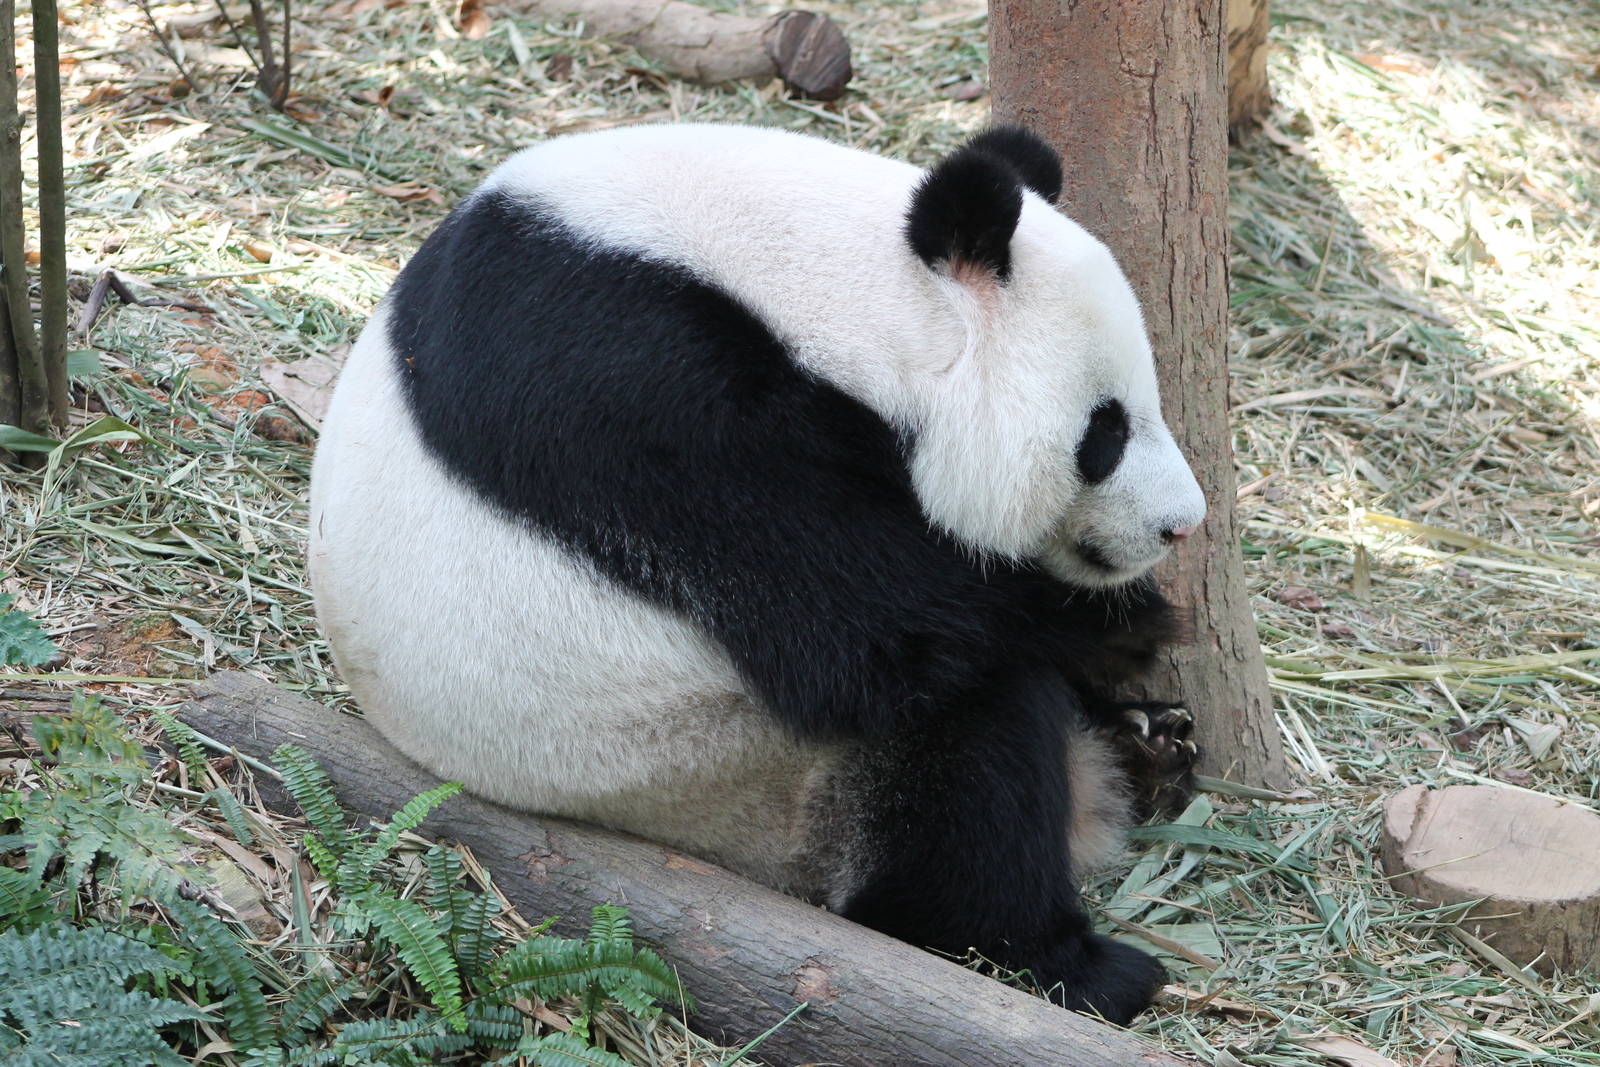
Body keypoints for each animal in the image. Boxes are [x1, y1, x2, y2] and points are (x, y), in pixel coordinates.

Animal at [308, 123, 1207, 1025]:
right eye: (1105, 431)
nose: (1180, 522)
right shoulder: (641, 397)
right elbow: (862, 632)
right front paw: (1116, 625)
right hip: (717, 767)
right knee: (968, 738)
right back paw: (1069, 955)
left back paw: (1146, 745)